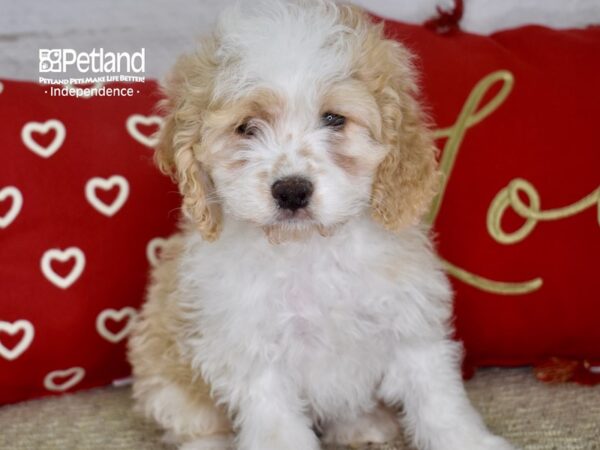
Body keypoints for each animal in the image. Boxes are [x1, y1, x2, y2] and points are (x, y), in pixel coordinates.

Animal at [126, 0, 516, 450]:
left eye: (333, 119)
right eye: (247, 128)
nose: (292, 191)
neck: (310, 249)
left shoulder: (409, 325)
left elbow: (438, 400)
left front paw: (468, 440)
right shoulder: (255, 356)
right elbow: (277, 428)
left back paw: (363, 425)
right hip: (166, 378)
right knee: (197, 425)